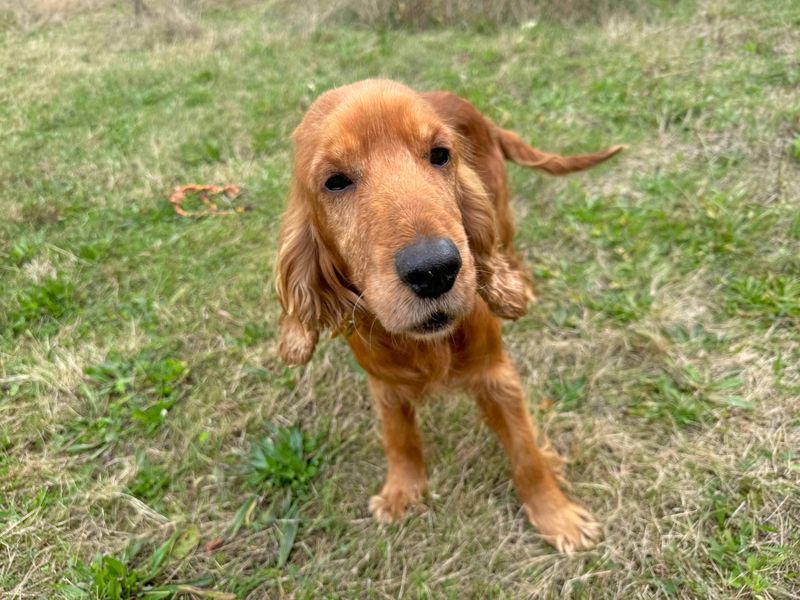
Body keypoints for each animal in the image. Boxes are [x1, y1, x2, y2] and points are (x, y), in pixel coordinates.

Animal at [276, 79, 624, 552]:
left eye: (440, 154)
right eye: (335, 181)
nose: (434, 270)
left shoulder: (497, 377)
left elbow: (526, 453)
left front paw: (557, 517)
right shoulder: (384, 384)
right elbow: (399, 438)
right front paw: (402, 490)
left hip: (500, 209)